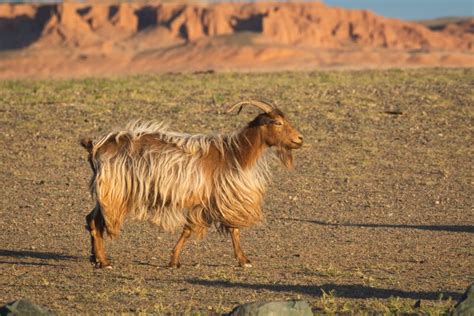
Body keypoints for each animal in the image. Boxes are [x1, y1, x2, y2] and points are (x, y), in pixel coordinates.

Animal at [80, 100, 304, 268]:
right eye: (277, 122)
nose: (299, 139)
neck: (234, 153)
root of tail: (95, 146)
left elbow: (217, 230)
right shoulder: (213, 198)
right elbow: (216, 229)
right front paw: (243, 260)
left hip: (106, 191)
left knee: (91, 219)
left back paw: (97, 259)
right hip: (114, 190)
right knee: (97, 221)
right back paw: (105, 261)